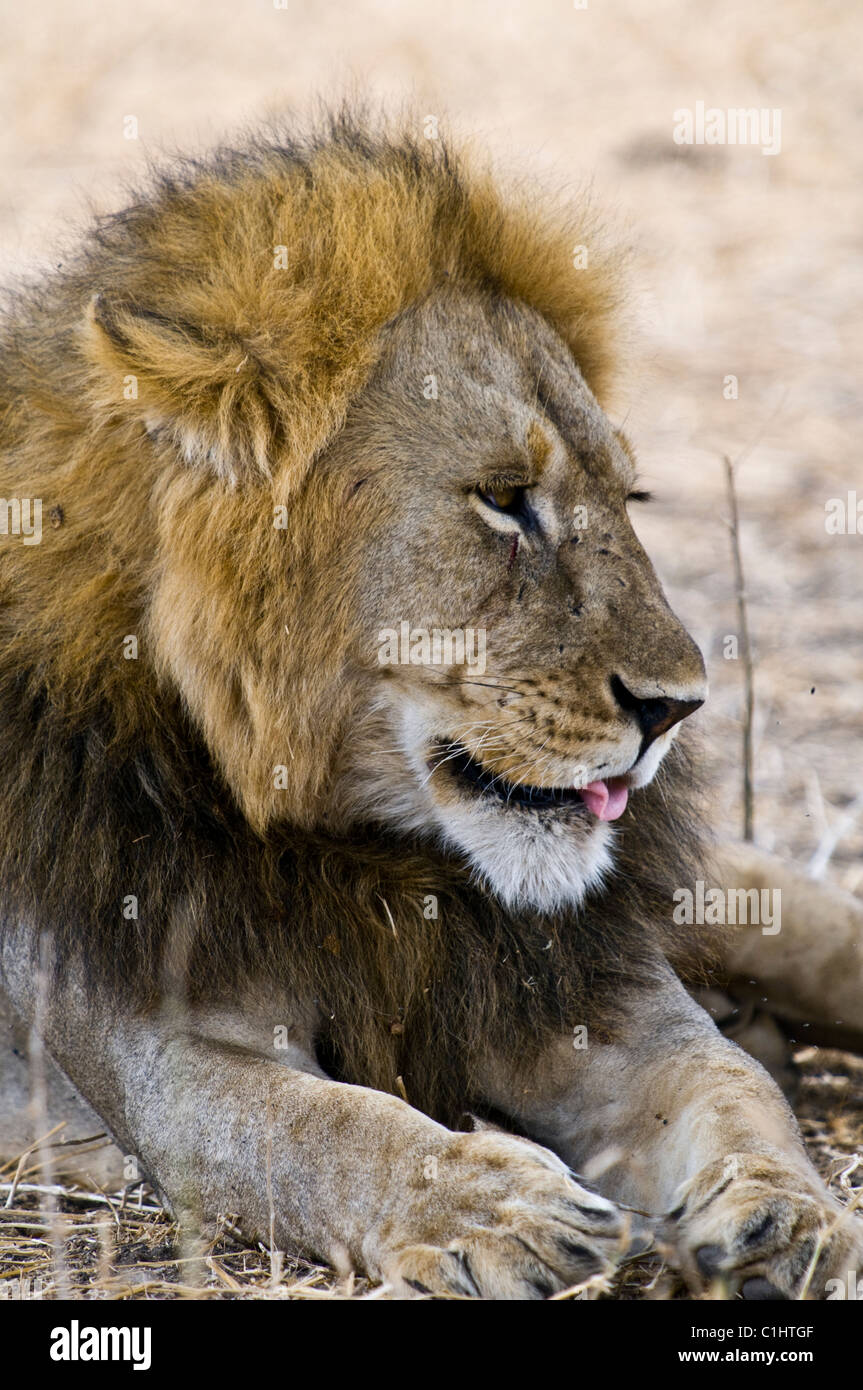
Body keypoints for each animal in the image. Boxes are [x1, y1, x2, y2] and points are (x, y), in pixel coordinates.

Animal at [1, 111, 861, 1301]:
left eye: (628, 497)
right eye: (502, 499)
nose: (677, 707)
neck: (370, 853)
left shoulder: (599, 999)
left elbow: (731, 1085)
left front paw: (790, 1218)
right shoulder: (170, 1061)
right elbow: (326, 1128)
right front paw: (490, 1206)